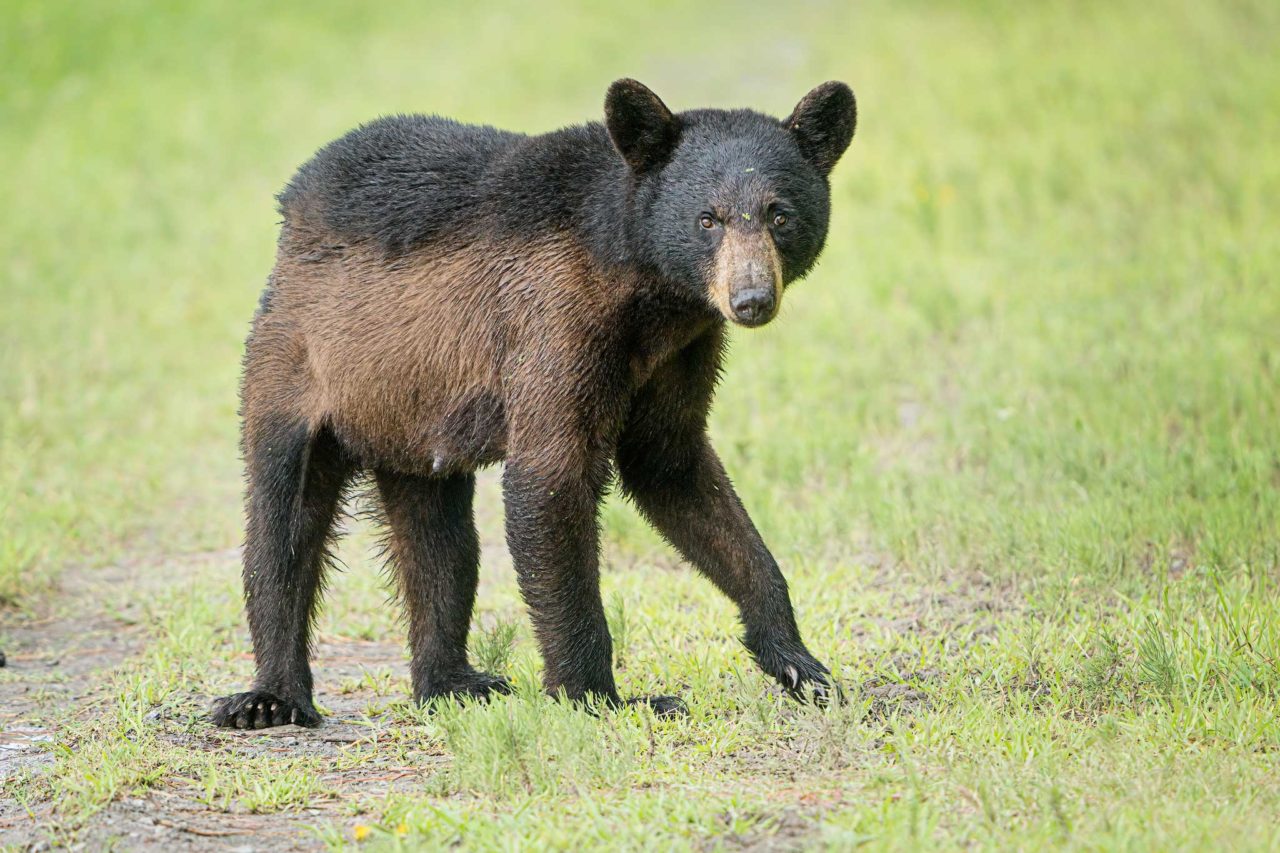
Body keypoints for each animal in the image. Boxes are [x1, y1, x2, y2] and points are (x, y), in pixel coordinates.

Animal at [215, 78, 855, 722]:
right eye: (708, 219)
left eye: (779, 214)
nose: (750, 298)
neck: (642, 289)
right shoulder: (553, 321)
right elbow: (549, 480)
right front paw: (602, 695)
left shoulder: (682, 350)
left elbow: (675, 467)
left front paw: (801, 665)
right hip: (298, 362)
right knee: (283, 523)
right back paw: (270, 697)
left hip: (414, 414)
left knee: (441, 541)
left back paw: (452, 682)